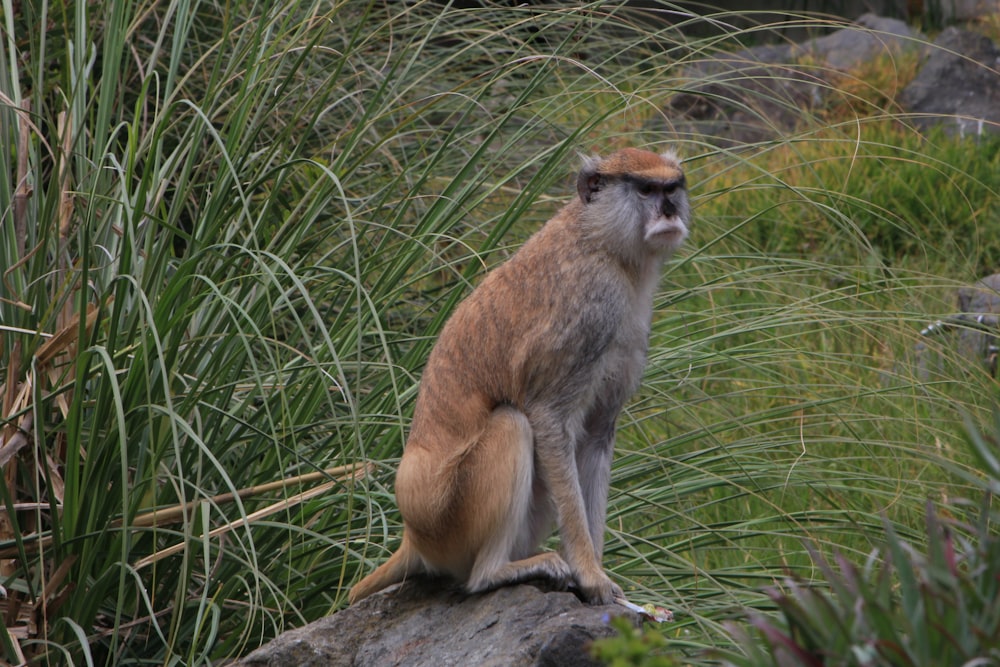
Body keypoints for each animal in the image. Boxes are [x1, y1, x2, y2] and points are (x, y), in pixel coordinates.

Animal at [350, 149, 688, 608]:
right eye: (646, 190)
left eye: (672, 187)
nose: (669, 209)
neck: (601, 239)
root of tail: (413, 537)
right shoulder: (589, 311)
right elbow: (547, 417)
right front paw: (590, 574)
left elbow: (596, 438)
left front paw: (597, 572)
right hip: (449, 519)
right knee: (512, 424)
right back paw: (496, 571)